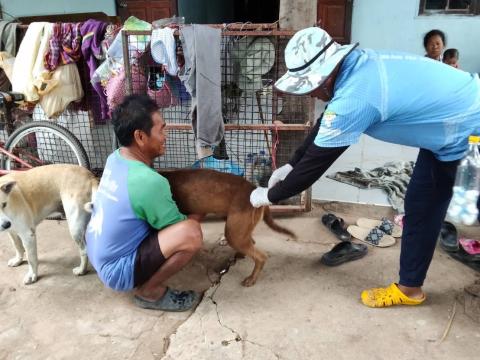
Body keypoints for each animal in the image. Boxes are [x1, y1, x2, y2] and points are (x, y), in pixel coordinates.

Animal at [160, 169, 296, 286]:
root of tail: (253, 188)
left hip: (233, 234)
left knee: (261, 257)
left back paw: (251, 278)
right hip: (236, 227)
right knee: (251, 242)